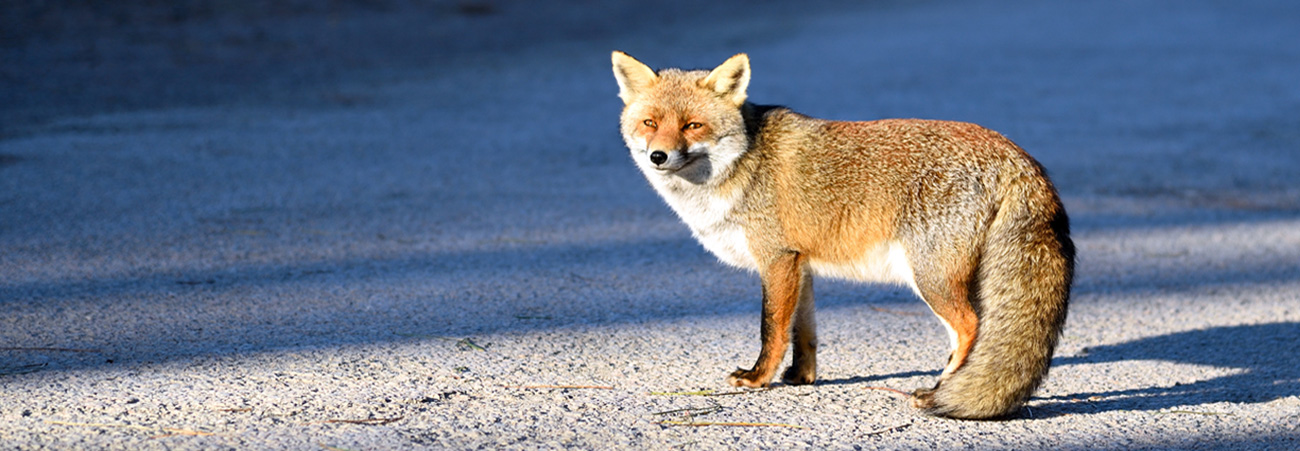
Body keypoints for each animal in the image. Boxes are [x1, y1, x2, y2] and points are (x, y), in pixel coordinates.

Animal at [608, 51, 1076, 421]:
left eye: (692, 126)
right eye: (650, 122)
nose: (658, 156)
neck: (741, 165)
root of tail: (1019, 157)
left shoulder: (776, 258)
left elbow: (771, 329)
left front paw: (759, 378)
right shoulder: (800, 265)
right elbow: (803, 332)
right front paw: (802, 378)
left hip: (932, 278)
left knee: (970, 328)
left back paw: (941, 389)